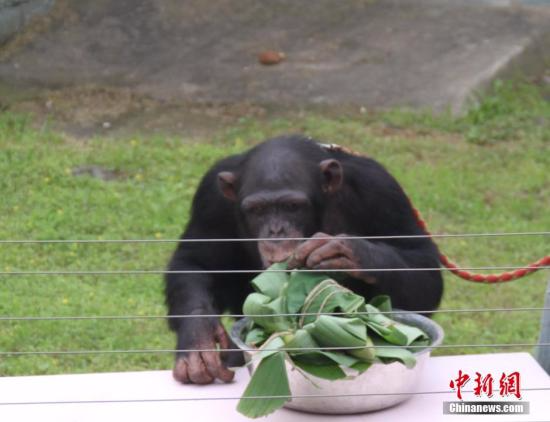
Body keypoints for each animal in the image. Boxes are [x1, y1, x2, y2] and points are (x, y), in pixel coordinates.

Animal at [164, 135, 444, 386]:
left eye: (292, 206)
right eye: (257, 210)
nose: (276, 231)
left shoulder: (380, 189)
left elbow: (423, 262)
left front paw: (347, 251)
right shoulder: (210, 198)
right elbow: (196, 262)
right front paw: (198, 340)